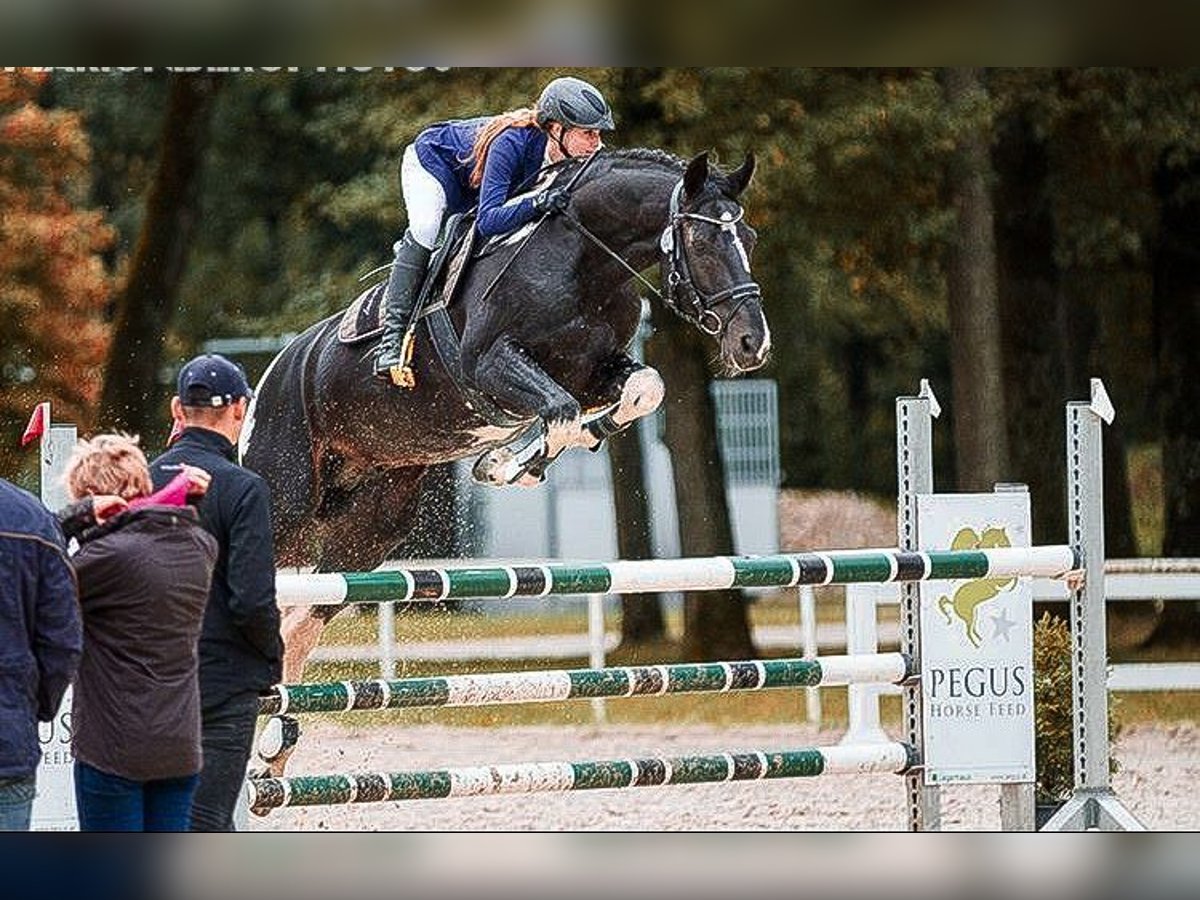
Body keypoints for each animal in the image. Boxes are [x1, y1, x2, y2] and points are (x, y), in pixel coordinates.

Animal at [238, 148, 772, 777]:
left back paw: (274, 752)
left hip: (370, 532)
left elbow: (644, 388)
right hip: (286, 503)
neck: (586, 262)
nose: (752, 345)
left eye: (750, 238)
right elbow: (558, 410)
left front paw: (518, 458)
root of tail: (275, 369)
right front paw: (508, 461)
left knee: (302, 618)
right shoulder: (490, 366)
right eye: (702, 239)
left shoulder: (598, 371)